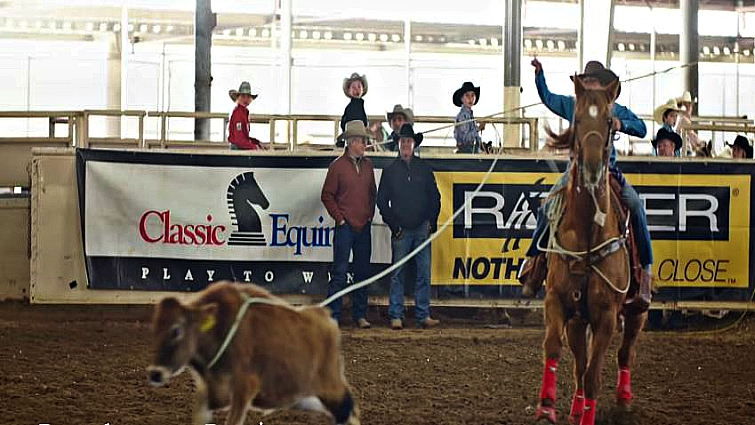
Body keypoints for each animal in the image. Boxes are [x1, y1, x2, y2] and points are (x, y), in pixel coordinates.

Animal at [149, 282, 362, 424]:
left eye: (176, 330)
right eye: (155, 329)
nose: (155, 373)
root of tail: (326, 319)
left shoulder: (244, 388)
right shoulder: (208, 391)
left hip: (331, 388)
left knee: (348, 411)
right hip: (303, 396)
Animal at [536, 75, 648, 424]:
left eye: (610, 123)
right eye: (579, 118)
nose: (593, 167)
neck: (587, 231)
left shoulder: (607, 315)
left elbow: (594, 374)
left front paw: (589, 414)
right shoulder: (557, 301)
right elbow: (554, 348)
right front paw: (546, 406)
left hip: (636, 312)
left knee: (625, 353)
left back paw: (623, 399)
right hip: (577, 319)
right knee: (579, 362)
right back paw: (575, 406)